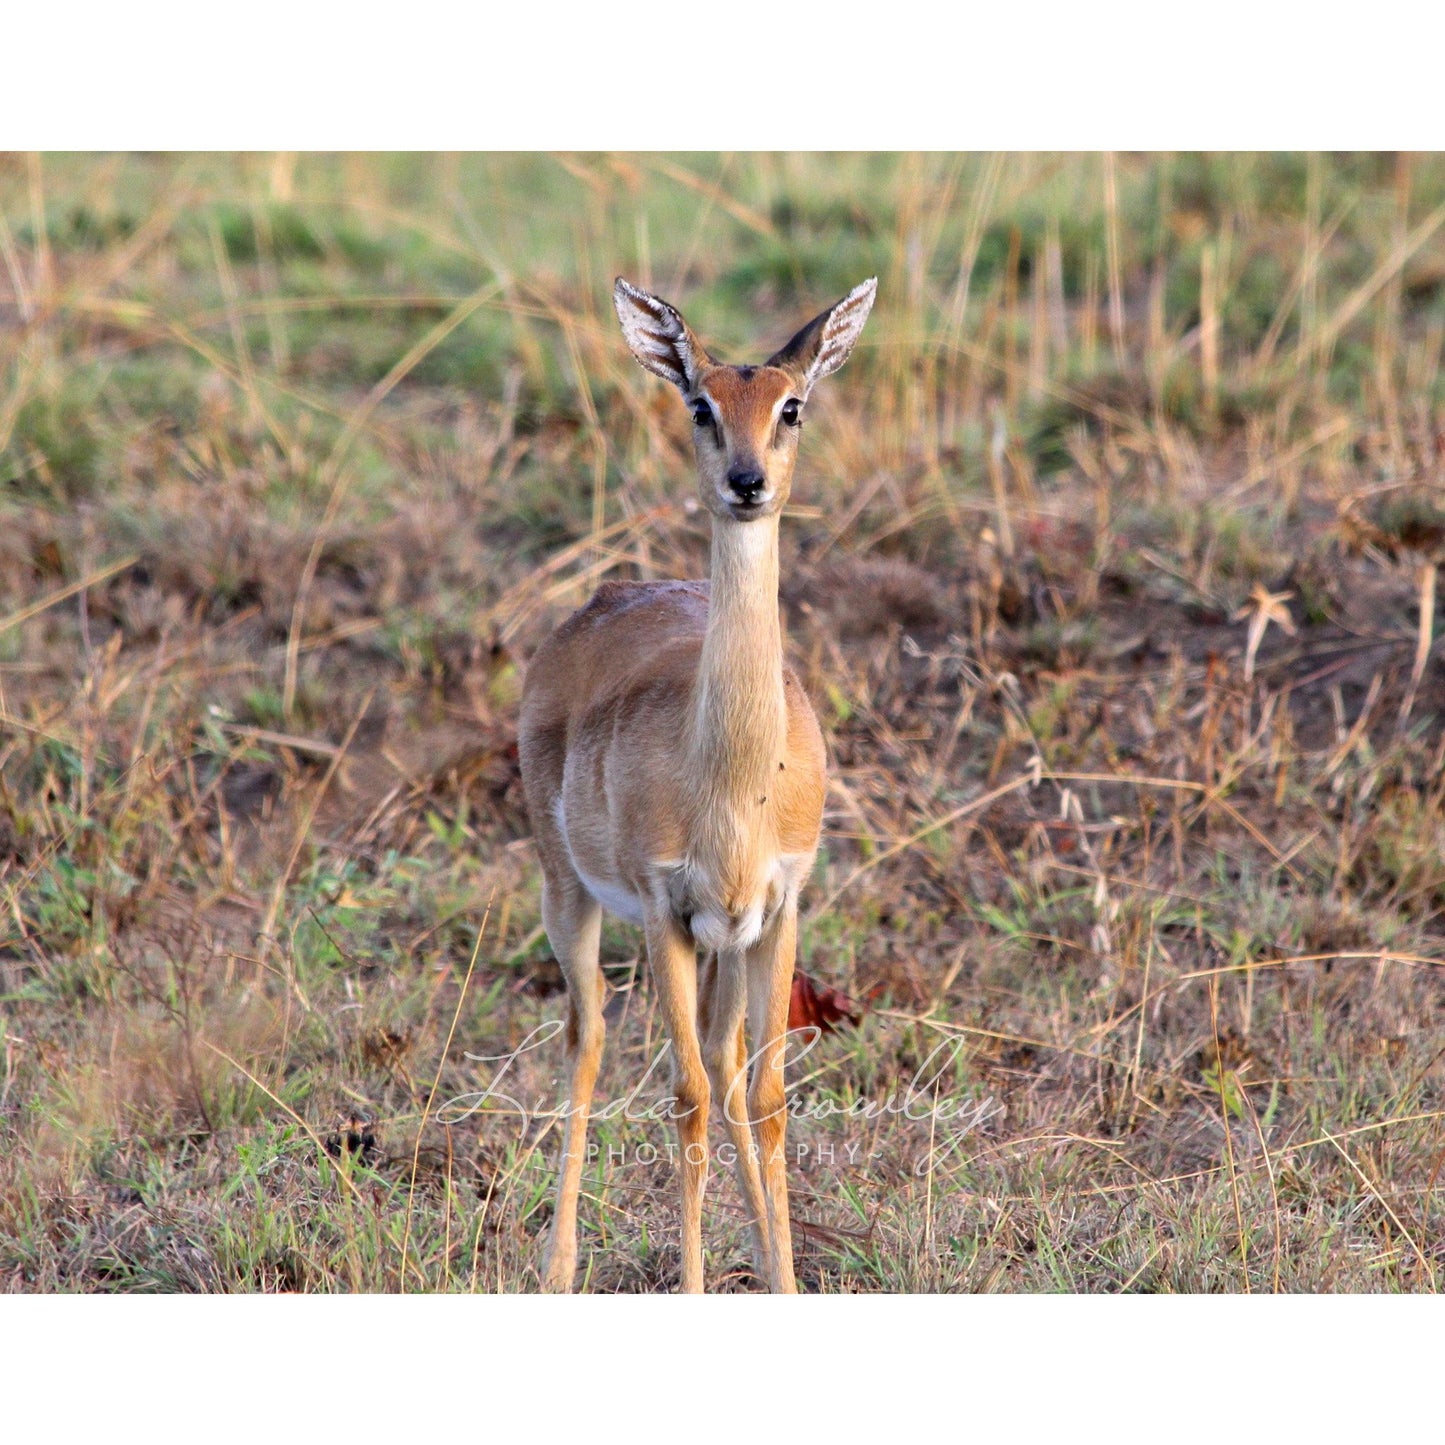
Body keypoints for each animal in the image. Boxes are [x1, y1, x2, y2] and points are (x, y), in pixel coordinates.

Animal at [518, 275, 877, 1293]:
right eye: (699, 406)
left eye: (791, 405)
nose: (747, 482)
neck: (735, 784)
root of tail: (602, 598)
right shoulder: (665, 912)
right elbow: (683, 1100)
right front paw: (690, 1283)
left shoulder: (779, 907)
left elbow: (763, 1094)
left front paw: (782, 1278)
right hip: (570, 897)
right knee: (589, 1039)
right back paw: (556, 1265)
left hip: (727, 939)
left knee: (721, 1060)